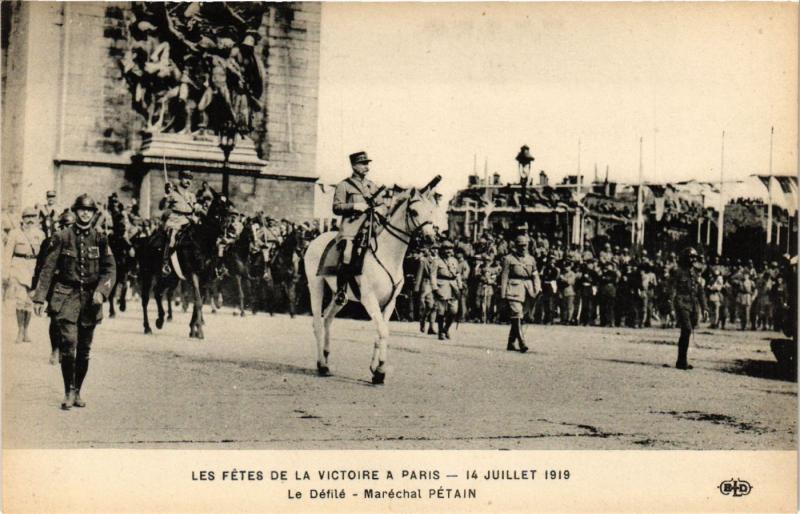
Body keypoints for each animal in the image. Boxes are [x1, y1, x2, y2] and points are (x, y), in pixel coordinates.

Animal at [136, 192, 230, 336]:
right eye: (218, 206)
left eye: (229, 207)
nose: (225, 231)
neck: (201, 241)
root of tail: (147, 240)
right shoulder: (193, 275)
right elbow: (198, 300)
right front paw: (199, 331)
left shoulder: (205, 278)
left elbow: (200, 300)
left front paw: (193, 329)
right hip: (148, 274)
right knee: (146, 299)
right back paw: (148, 327)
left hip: (171, 278)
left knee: (158, 292)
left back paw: (160, 320)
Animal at [304, 175, 440, 380]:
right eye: (415, 211)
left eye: (431, 210)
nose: (430, 239)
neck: (387, 255)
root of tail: (315, 240)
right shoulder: (369, 299)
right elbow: (382, 331)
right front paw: (381, 370)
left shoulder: (390, 302)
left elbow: (382, 331)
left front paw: (375, 369)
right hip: (316, 286)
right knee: (318, 323)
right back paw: (321, 365)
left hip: (339, 296)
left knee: (327, 319)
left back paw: (326, 360)